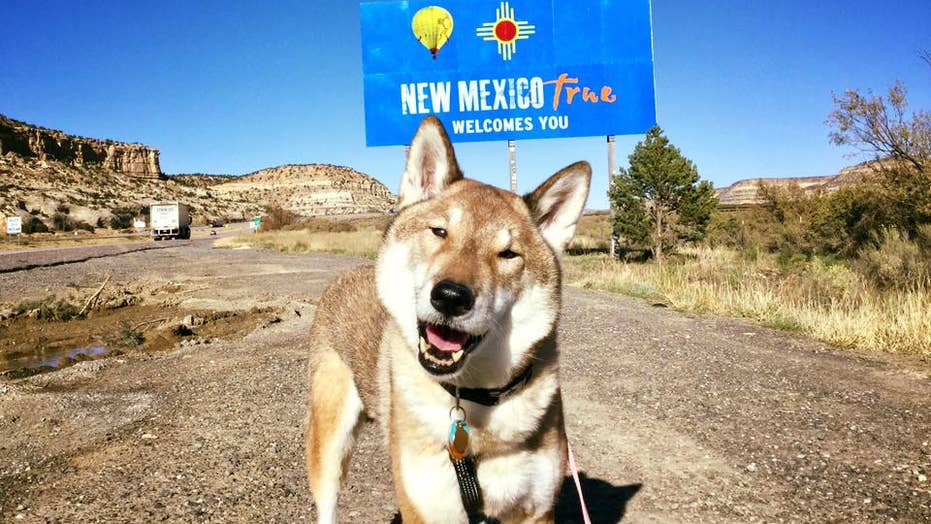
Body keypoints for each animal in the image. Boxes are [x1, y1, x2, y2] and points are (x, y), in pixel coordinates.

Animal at [310, 116, 592, 520]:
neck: (474, 401)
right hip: (331, 445)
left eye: (508, 254)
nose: (450, 298)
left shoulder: (535, 511)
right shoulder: (426, 510)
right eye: (440, 231)